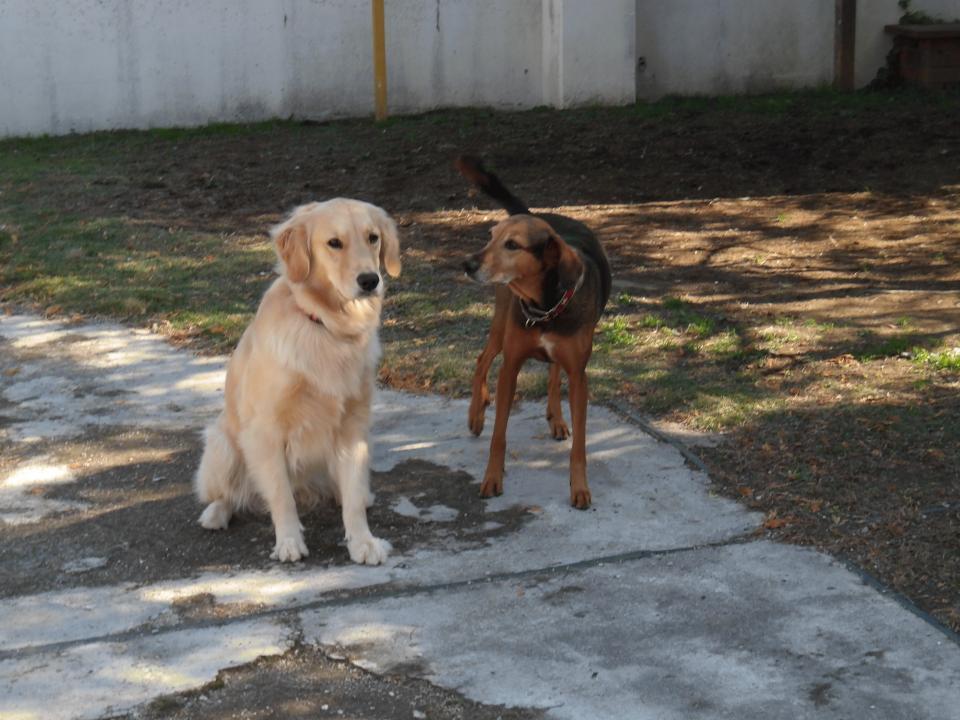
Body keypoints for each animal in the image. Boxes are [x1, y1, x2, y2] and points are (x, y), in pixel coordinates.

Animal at [194, 198, 401, 564]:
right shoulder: (265, 430)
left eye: (373, 237)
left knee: (350, 490)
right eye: (334, 243)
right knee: (228, 495)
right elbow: (280, 494)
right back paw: (216, 513)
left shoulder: (352, 425)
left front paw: (363, 542)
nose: (369, 280)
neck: (327, 326)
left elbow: (351, 498)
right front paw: (289, 542)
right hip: (222, 447)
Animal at [457, 156, 611, 509]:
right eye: (490, 236)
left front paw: (579, 487)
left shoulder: (579, 376)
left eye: (513, 245)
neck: (546, 307)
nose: (467, 264)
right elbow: (499, 435)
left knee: (553, 372)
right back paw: (476, 414)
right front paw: (492, 477)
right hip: (501, 326)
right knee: (482, 359)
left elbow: (580, 446)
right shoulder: (511, 366)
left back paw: (556, 418)